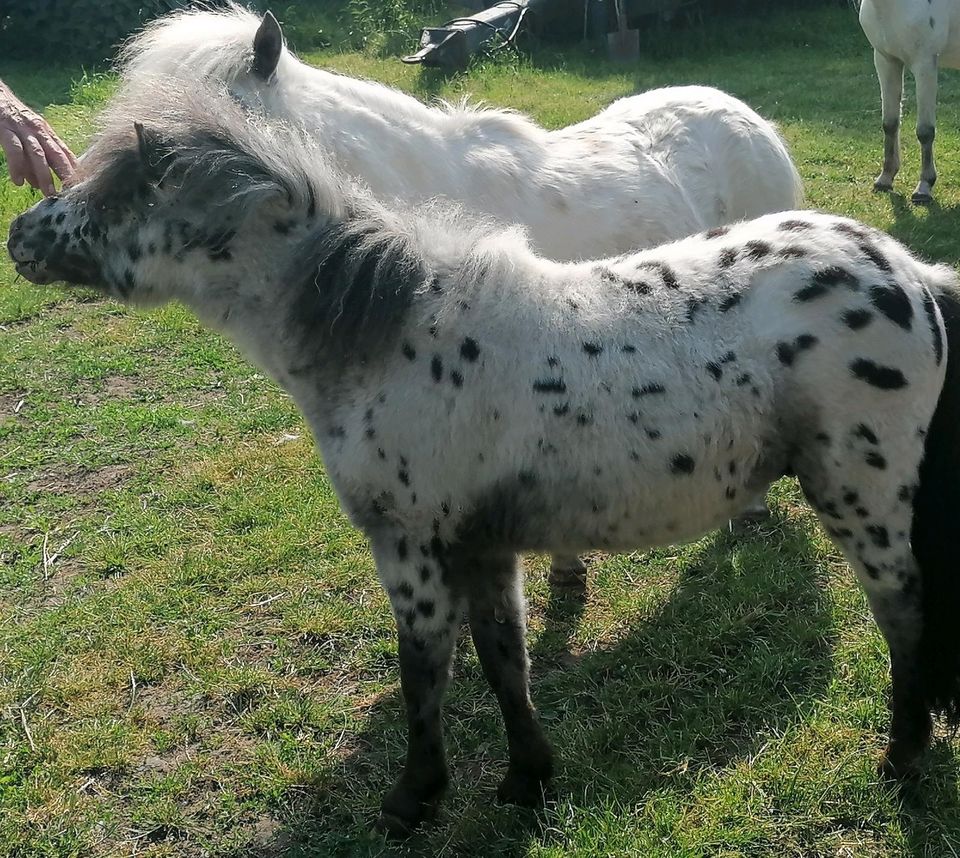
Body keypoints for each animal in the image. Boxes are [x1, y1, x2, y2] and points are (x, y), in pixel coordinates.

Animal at [7, 82, 960, 836]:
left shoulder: (411, 547)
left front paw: (412, 799)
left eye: (116, 195)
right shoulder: (485, 546)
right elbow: (507, 661)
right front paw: (527, 780)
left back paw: (902, 759)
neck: (392, 336)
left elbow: (422, 671)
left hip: (865, 498)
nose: (21, 233)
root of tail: (910, 271)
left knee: (905, 614)